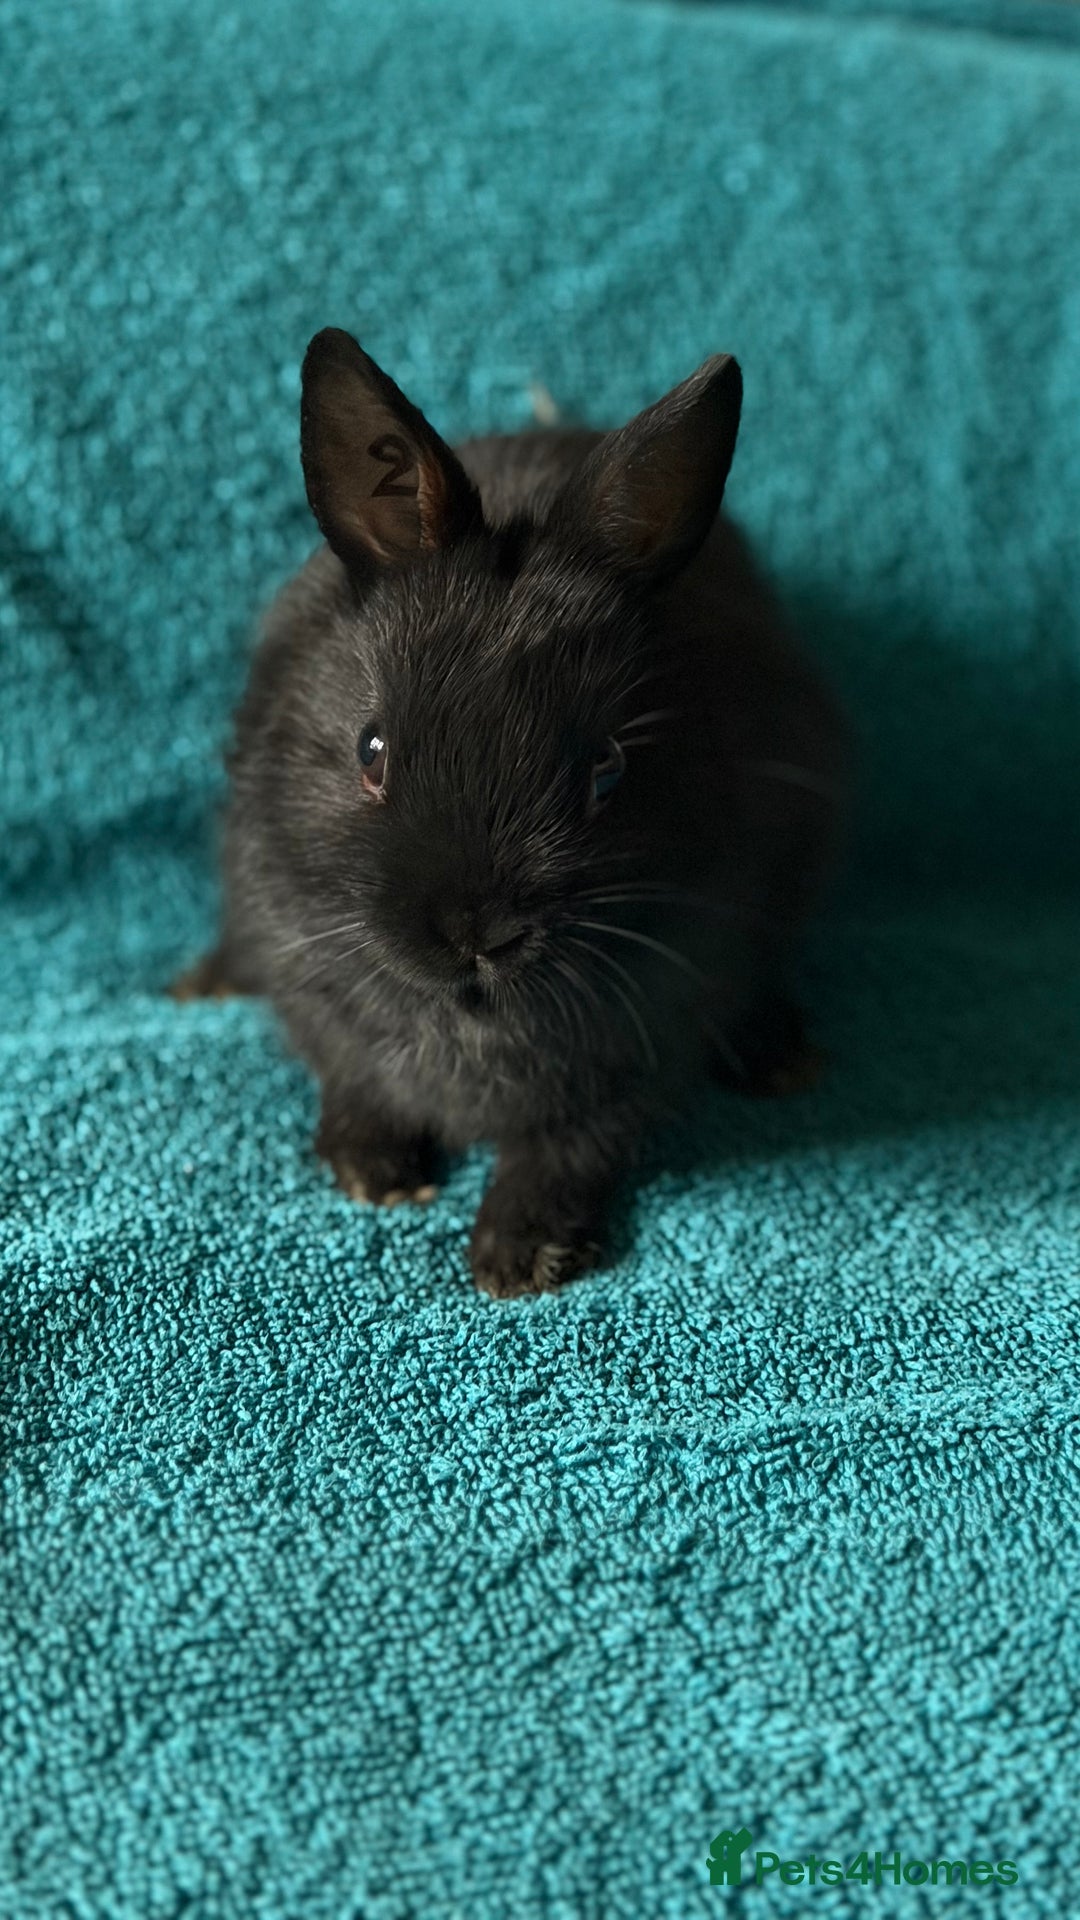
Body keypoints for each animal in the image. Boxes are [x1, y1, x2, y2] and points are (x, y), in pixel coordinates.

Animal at [173, 326, 849, 1297]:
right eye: (370, 750)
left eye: (606, 770)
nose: (476, 930)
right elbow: (352, 1076)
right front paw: (373, 1171)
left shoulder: (656, 1026)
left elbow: (573, 1142)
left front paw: (520, 1251)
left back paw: (783, 1057)